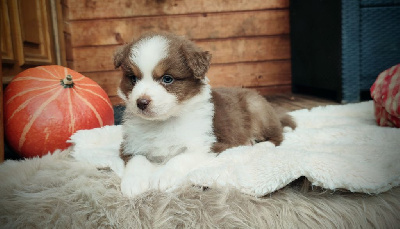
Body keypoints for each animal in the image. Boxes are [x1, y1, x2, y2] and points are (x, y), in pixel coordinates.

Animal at [114, 32, 296, 197]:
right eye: (133, 78)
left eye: (167, 79)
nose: (141, 102)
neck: (163, 122)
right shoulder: (130, 144)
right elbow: (137, 159)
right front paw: (133, 183)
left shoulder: (209, 144)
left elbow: (180, 158)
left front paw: (163, 176)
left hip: (256, 106)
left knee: (277, 136)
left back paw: (259, 146)